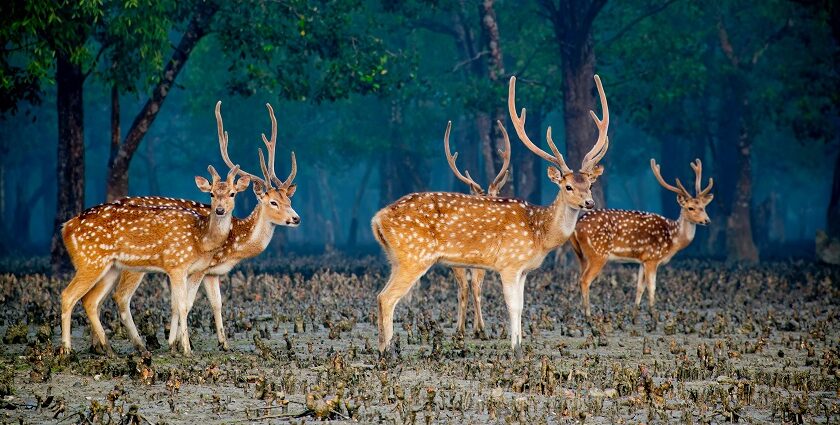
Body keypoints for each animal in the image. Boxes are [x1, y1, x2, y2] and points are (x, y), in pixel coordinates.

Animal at [62, 147, 249, 354]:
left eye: (232, 193)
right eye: (212, 194)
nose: (220, 210)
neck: (201, 240)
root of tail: (66, 228)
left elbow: (185, 304)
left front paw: (180, 345)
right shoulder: (177, 265)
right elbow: (182, 305)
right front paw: (185, 349)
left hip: (110, 267)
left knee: (91, 300)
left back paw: (109, 350)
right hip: (91, 261)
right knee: (69, 296)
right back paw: (67, 350)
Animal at [440, 119, 512, 338]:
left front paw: (469, 326)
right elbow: (476, 286)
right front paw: (479, 328)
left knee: (464, 287)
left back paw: (461, 329)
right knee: (471, 286)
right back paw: (478, 330)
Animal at [568, 159, 712, 318]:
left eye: (704, 206)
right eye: (690, 208)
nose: (707, 220)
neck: (672, 239)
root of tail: (577, 226)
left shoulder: (643, 260)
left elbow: (639, 287)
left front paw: (634, 316)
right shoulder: (652, 258)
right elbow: (652, 287)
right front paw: (653, 315)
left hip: (581, 254)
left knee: (579, 277)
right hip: (598, 254)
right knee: (585, 280)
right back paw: (588, 315)